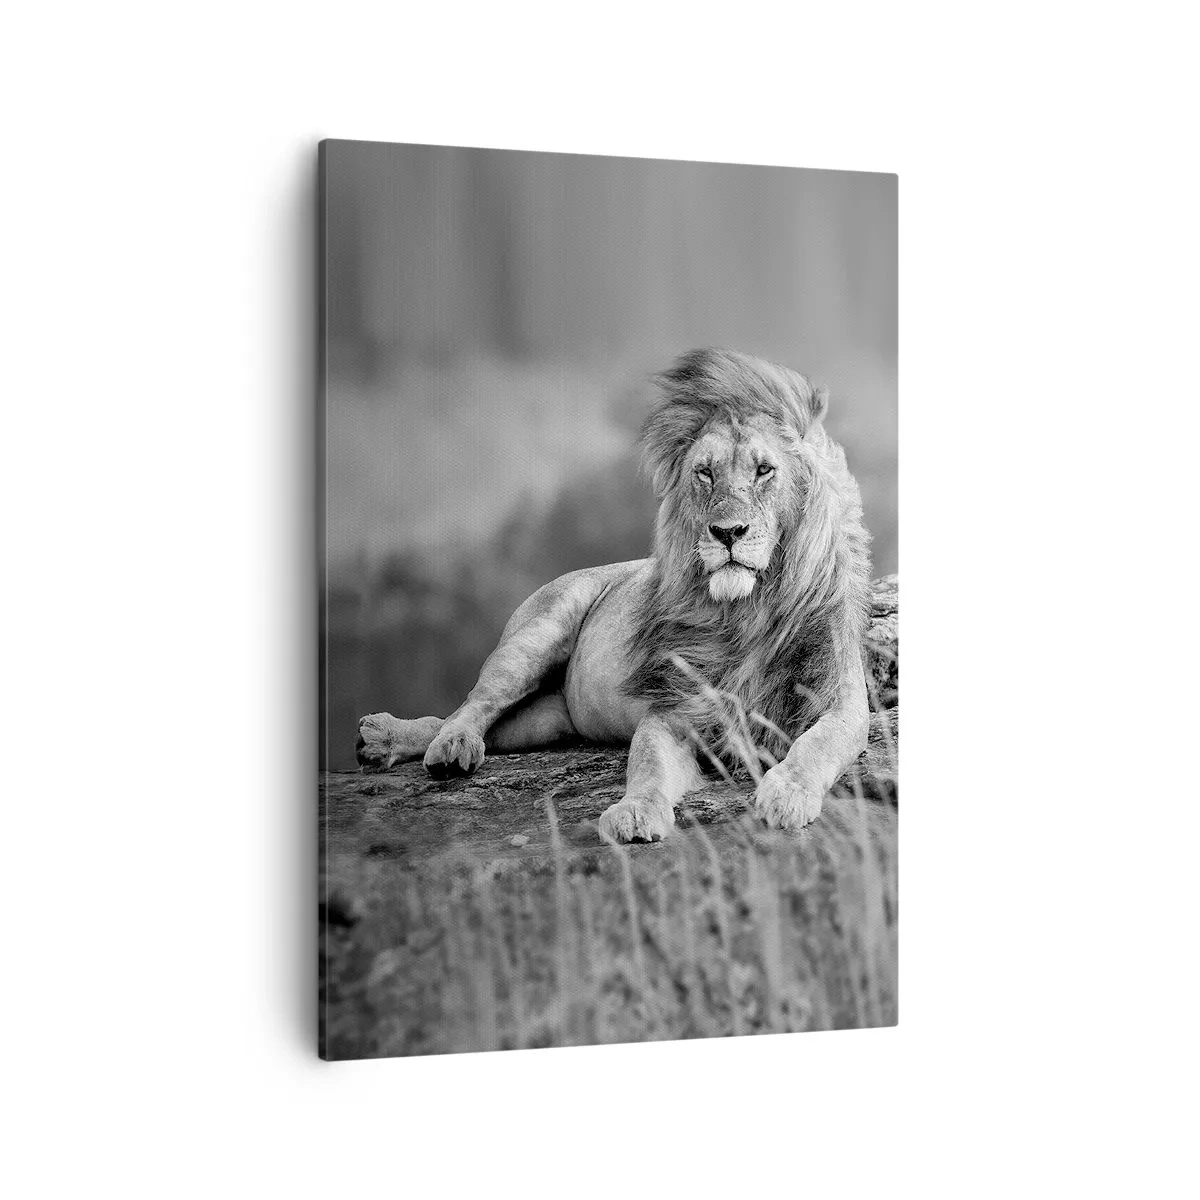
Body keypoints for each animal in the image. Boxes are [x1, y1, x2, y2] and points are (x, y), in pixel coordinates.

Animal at [356, 348, 872, 842]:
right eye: (704, 473)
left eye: (764, 470)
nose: (727, 533)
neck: (748, 611)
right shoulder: (673, 709)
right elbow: (646, 765)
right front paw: (635, 813)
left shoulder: (841, 701)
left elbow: (816, 745)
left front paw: (786, 795)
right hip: (535, 636)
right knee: (471, 705)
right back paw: (436, 745)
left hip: (546, 721)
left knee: (479, 723)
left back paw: (384, 741)